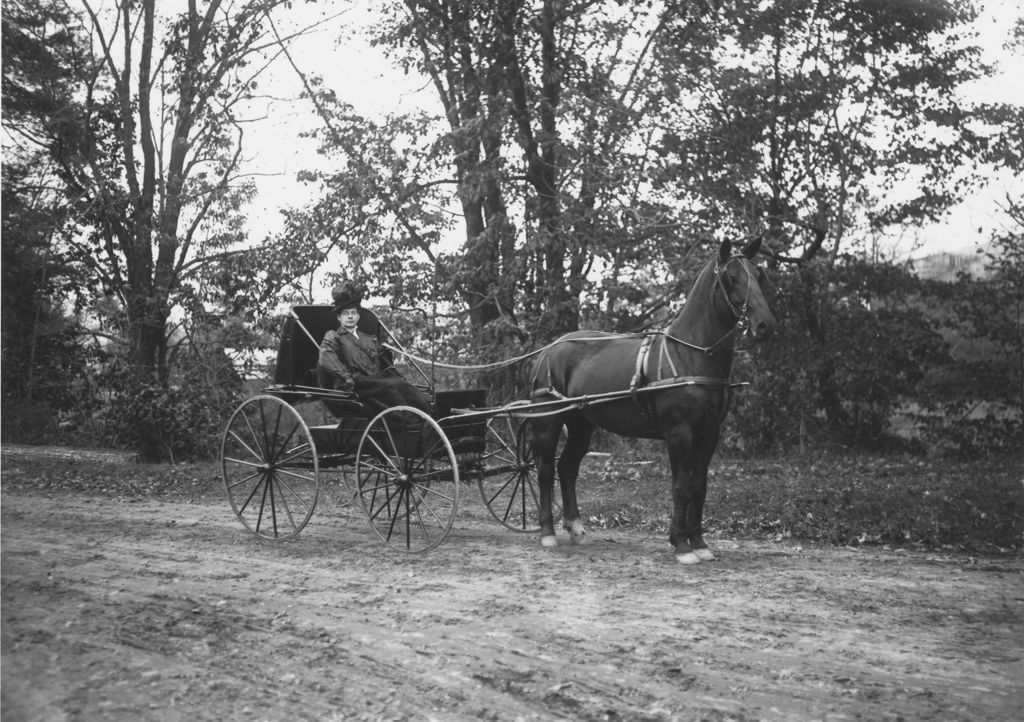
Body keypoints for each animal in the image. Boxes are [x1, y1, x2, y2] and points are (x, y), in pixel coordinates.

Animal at [528, 236, 774, 565]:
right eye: (730, 278)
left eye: (759, 275)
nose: (765, 325)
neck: (692, 353)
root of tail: (548, 351)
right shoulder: (679, 433)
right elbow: (681, 486)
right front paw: (681, 545)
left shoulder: (709, 434)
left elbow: (699, 487)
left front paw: (699, 542)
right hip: (549, 421)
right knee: (544, 471)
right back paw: (547, 532)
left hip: (581, 424)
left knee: (567, 468)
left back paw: (576, 528)